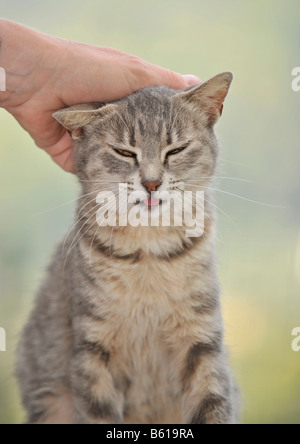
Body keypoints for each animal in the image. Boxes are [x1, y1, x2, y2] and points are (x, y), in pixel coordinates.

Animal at [17, 72, 240, 424]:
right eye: (124, 152)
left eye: (176, 149)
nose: (151, 183)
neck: (148, 249)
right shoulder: (92, 347)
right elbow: (97, 412)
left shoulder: (202, 338)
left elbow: (213, 403)